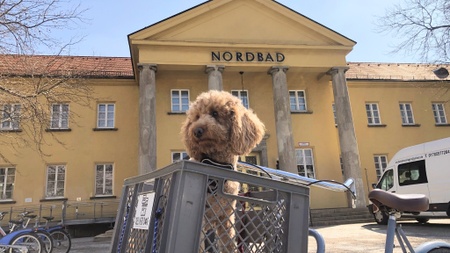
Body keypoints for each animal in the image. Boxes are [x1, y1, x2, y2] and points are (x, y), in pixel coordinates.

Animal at [181, 90, 266, 252]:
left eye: (215, 113)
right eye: (197, 117)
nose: (196, 130)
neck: (217, 165)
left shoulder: (226, 218)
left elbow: (229, 244)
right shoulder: (201, 220)